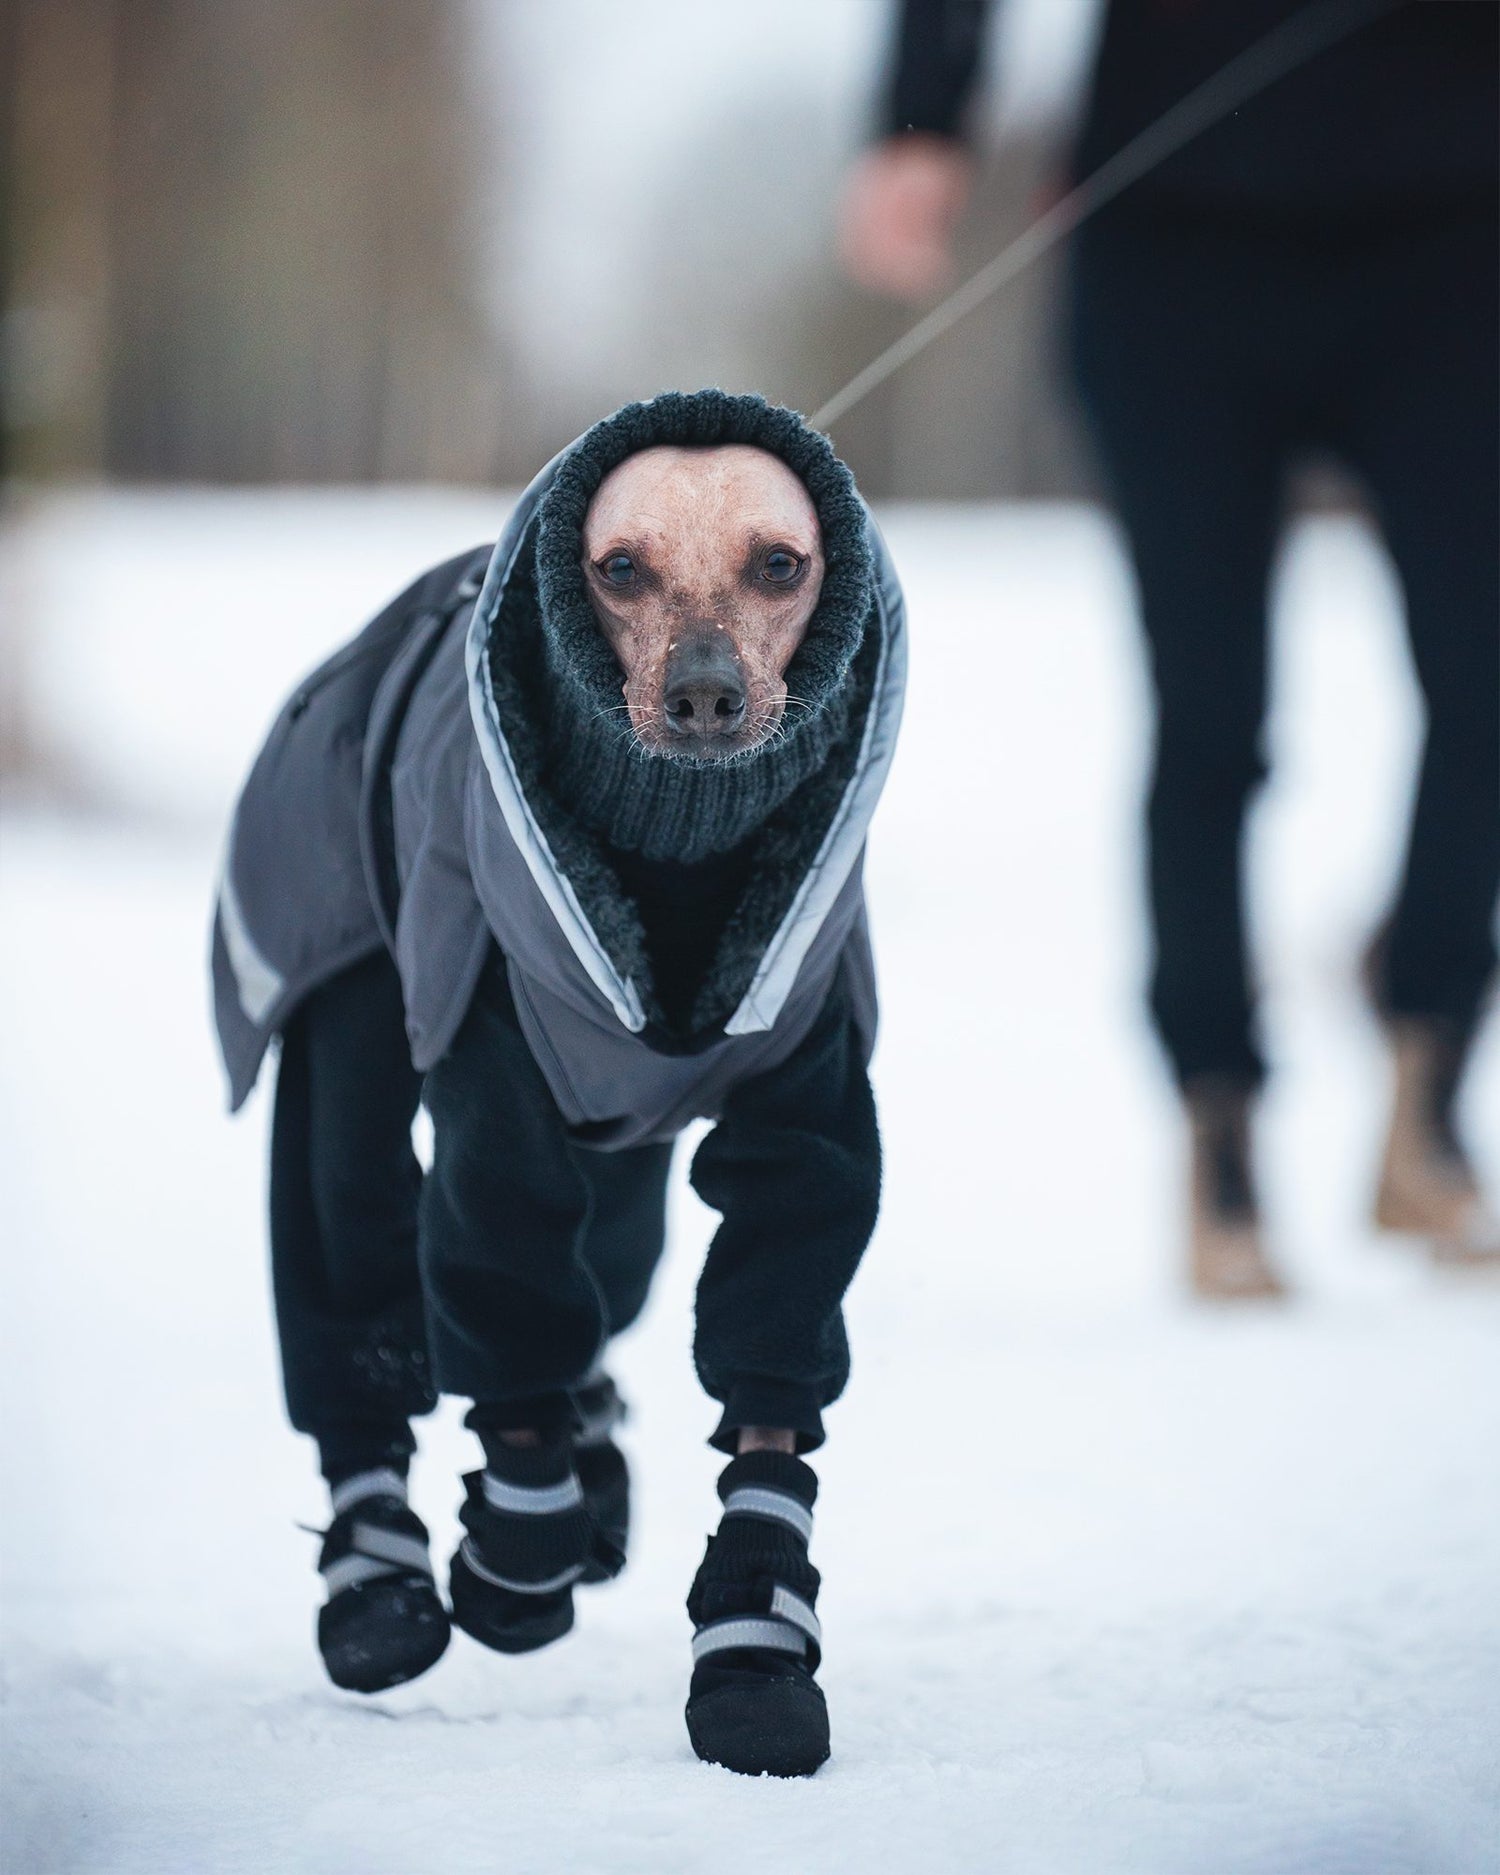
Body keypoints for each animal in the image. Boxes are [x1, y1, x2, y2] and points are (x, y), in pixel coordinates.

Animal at [212, 391, 907, 1770]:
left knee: (610, 1286)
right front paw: (519, 1556)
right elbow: (508, 1299)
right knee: (356, 1272)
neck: (678, 854)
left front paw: (754, 1650)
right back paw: (380, 1580)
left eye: (781, 563)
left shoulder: (805, 1089)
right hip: (357, 1022)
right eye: (619, 567)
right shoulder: (497, 1076)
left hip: (626, 1166)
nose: (704, 695)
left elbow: (772, 1347)